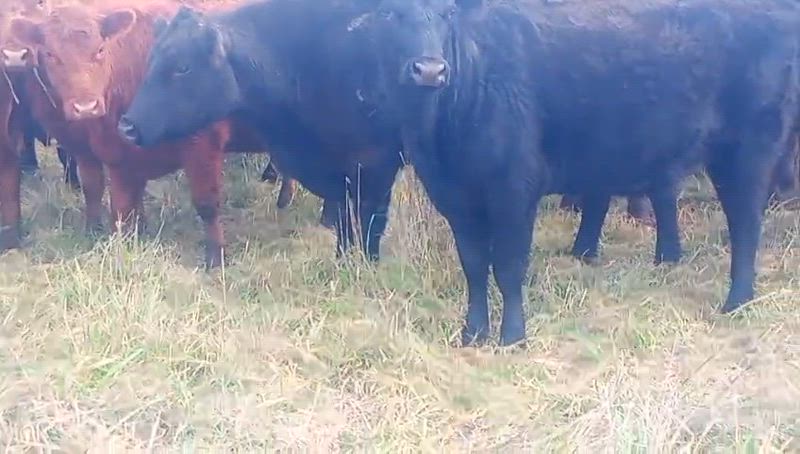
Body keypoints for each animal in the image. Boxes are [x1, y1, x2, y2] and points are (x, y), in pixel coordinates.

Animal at [119, 1, 407, 262]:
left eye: (183, 67)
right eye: (150, 59)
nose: (127, 126)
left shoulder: (377, 166)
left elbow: (369, 224)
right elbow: (346, 223)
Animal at [345, 0, 800, 345]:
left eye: (448, 12)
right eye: (391, 13)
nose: (430, 70)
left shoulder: (515, 190)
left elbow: (507, 265)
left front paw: (513, 337)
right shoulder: (455, 196)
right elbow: (473, 264)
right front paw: (472, 333)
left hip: (748, 153)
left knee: (746, 225)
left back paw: (737, 301)